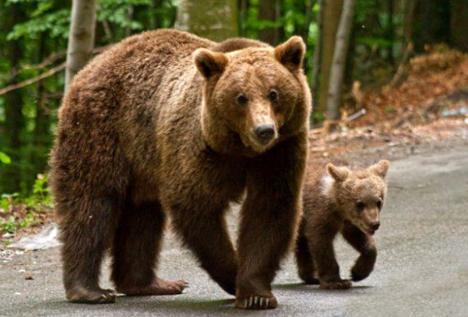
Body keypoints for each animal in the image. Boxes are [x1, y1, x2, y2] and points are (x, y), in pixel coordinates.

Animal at [50, 29, 310, 308]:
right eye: (241, 98)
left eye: (274, 93)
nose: (264, 130)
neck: (241, 150)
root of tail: (92, 65)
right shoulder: (199, 147)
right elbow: (197, 204)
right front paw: (234, 275)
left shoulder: (280, 150)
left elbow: (269, 208)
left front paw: (255, 293)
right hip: (101, 132)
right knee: (91, 205)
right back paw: (90, 290)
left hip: (145, 160)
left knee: (143, 216)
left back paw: (149, 284)